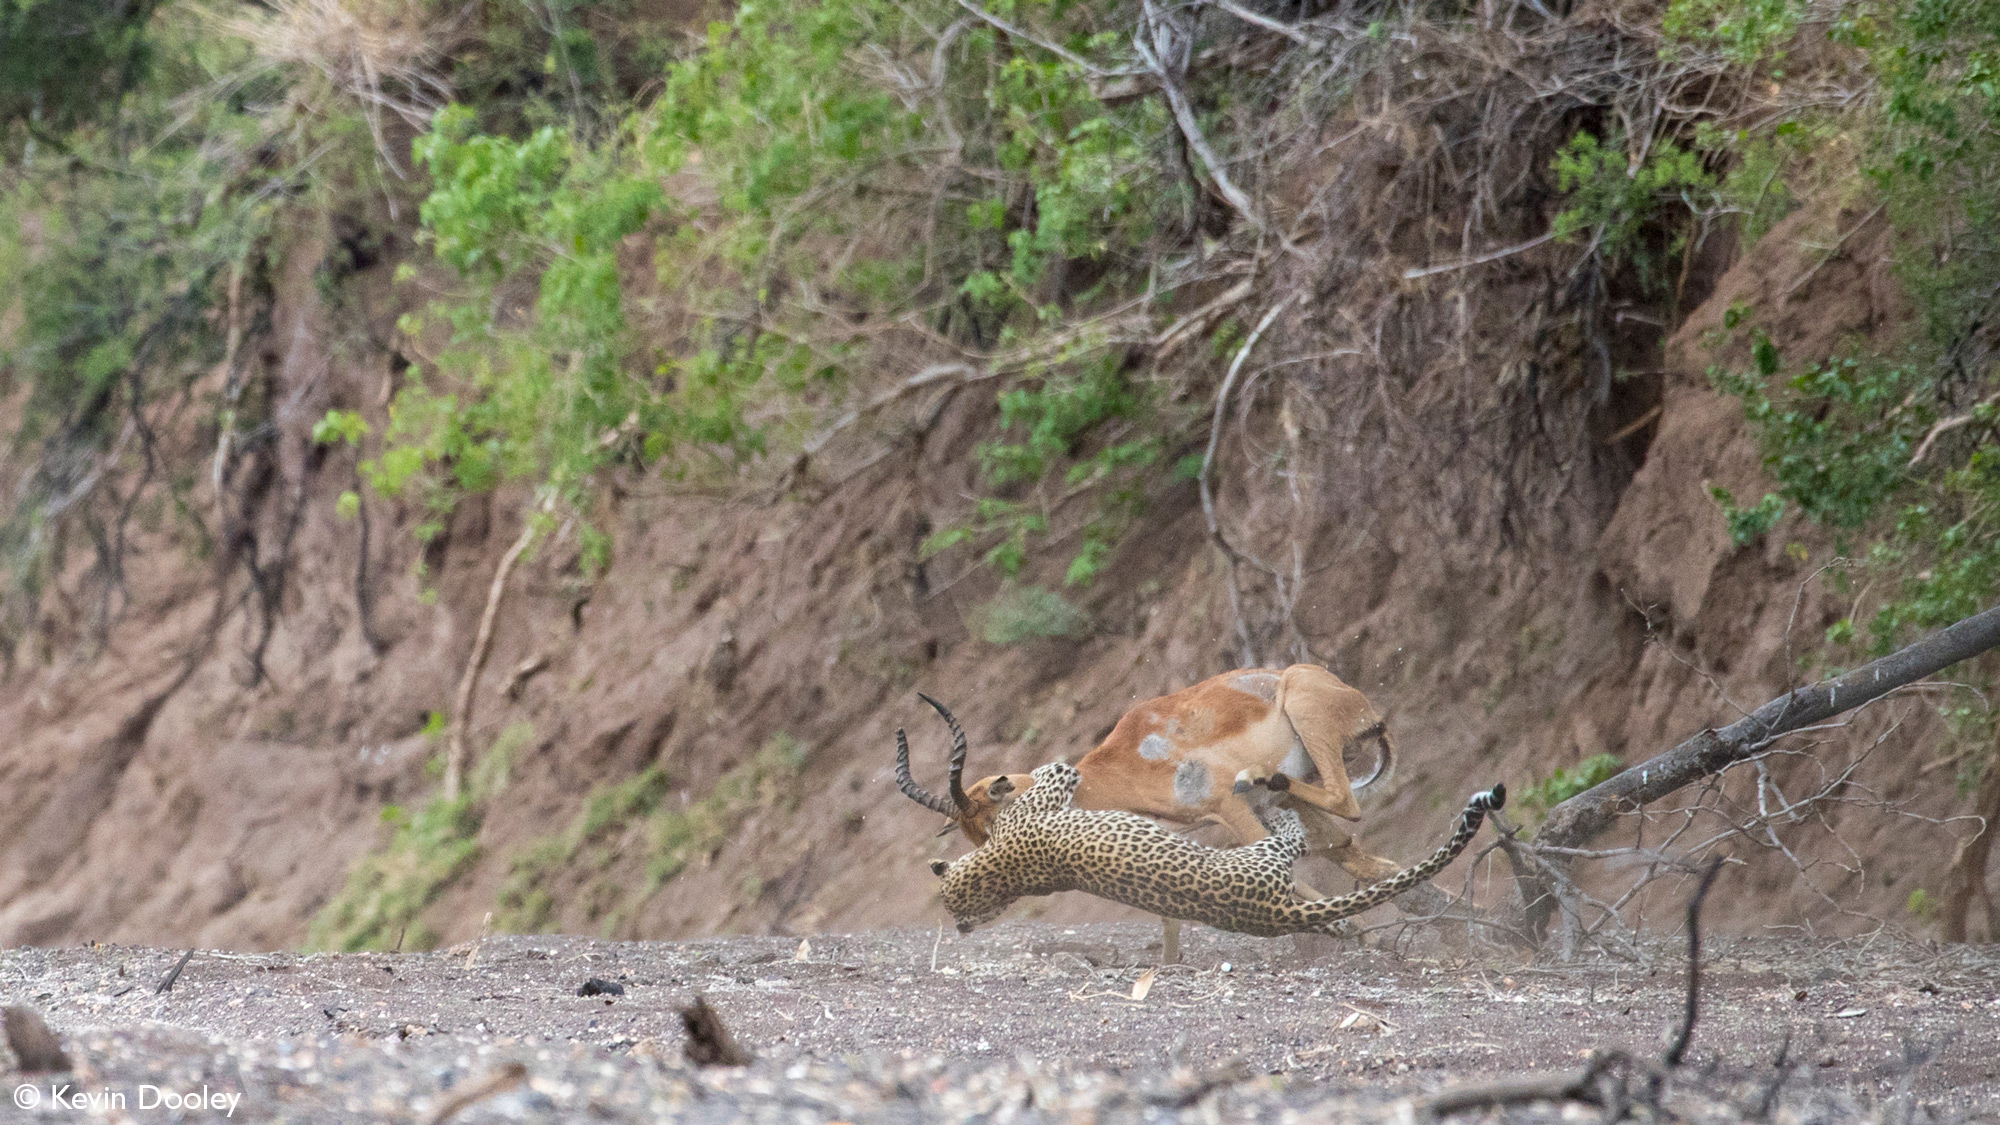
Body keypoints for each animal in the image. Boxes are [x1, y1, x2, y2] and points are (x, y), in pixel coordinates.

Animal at [928, 756, 1504, 932]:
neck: (1000, 871)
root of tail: (1273, 915)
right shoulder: (1047, 795)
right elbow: (1057, 769)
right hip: (1262, 856)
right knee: (1291, 840)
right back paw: (1278, 807)